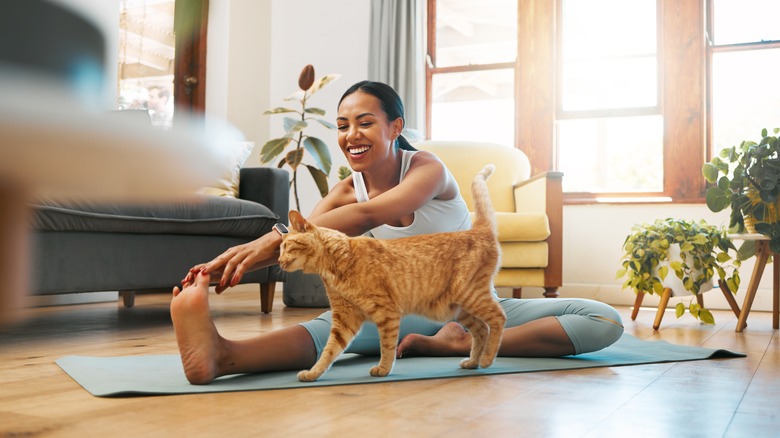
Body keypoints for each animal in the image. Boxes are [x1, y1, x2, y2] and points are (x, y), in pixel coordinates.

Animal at [278, 163, 506, 382]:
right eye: (279, 249)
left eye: (286, 246)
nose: (279, 261)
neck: (336, 262)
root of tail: (478, 230)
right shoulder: (345, 319)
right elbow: (329, 351)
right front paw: (313, 373)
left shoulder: (386, 312)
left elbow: (386, 346)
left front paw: (383, 369)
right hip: (459, 308)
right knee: (481, 329)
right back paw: (473, 362)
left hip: (470, 293)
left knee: (498, 318)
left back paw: (487, 359)